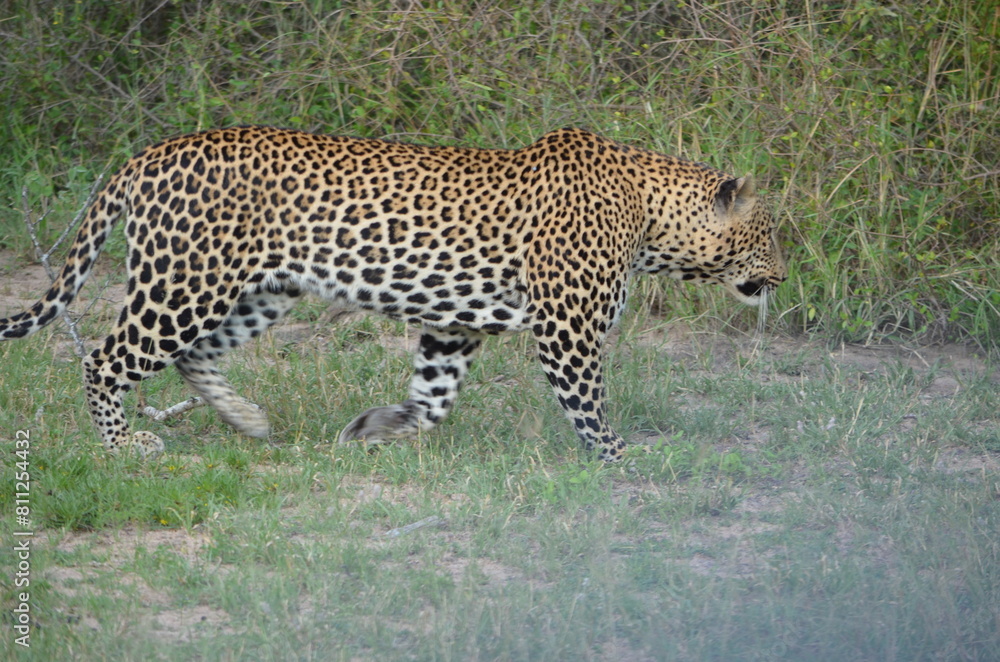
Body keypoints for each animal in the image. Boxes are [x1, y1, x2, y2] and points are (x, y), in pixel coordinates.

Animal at [0, 126, 786, 461]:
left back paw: (247, 420)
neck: (652, 219)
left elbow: (433, 397)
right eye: (770, 233)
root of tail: (146, 154)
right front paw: (627, 458)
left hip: (258, 289)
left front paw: (376, 429)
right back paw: (124, 444)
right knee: (104, 358)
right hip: (185, 282)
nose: (781, 277)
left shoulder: (454, 324)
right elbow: (589, 406)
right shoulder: (568, 330)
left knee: (196, 357)